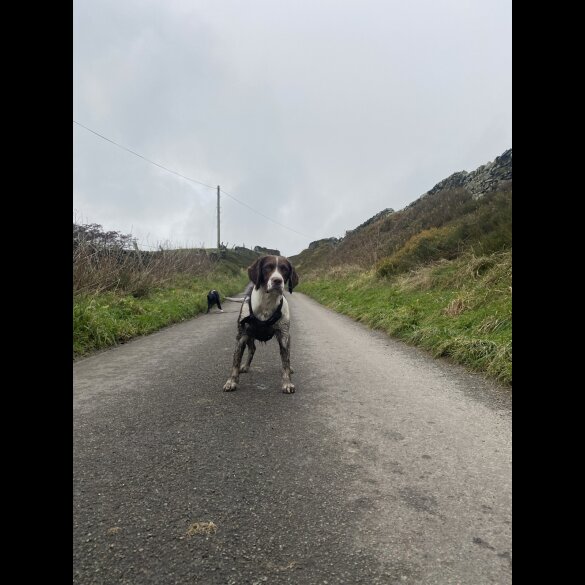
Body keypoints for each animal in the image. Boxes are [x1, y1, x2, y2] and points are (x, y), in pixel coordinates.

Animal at [222, 254, 298, 392]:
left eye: (284, 269)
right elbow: (236, 360)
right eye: (268, 267)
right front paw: (231, 381)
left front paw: (287, 382)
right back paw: (245, 366)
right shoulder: (241, 335)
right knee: (252, 349)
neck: (267, 303)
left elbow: (286, 360)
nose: (277, 281)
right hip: (249, 335)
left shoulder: (283, 335)